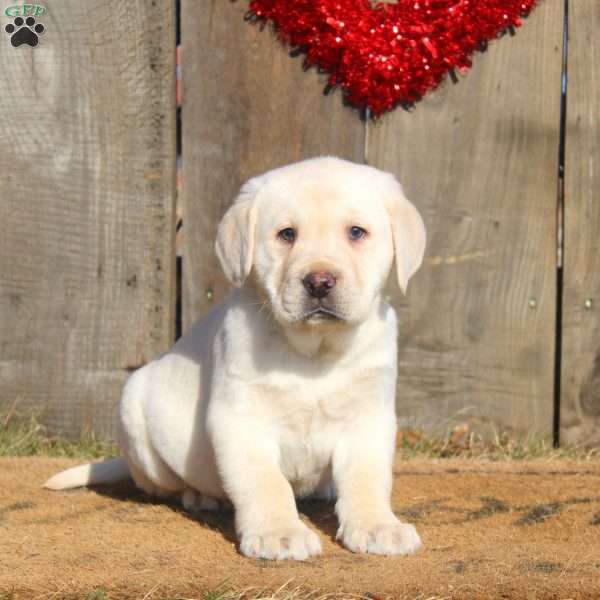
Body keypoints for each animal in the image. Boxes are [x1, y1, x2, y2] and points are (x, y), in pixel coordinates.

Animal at [45, 157, 426, 560]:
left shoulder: (369, 418)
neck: (314, 349)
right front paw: (279, 532)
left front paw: (378, 525)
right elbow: (264, 481)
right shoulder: (240, 419)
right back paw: (198, 495)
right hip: (135, 414)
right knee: (160, 484)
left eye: (356, 232)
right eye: (286, 234)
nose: (319, 282)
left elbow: (367, 478)